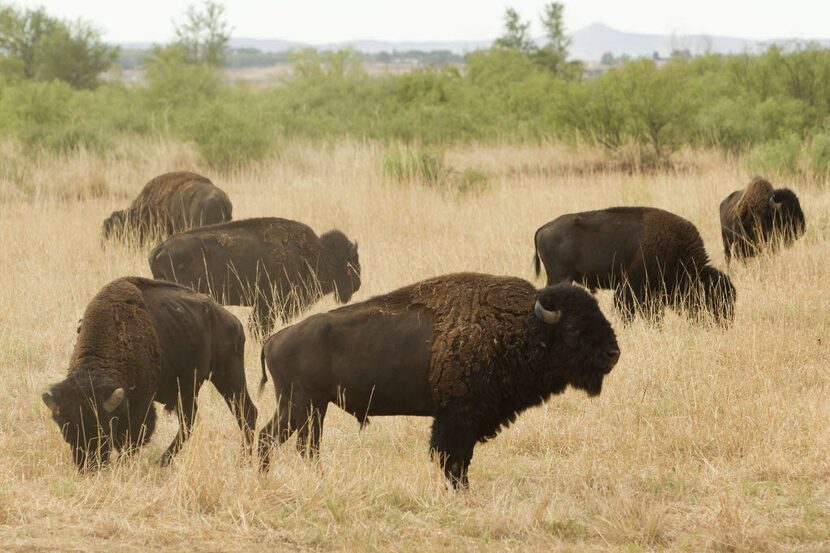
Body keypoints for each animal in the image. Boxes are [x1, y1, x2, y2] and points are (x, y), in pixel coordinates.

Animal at [41, 278, 256, 468]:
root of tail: (233, 321)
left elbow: (135, 438)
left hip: (226, 376)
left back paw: (241, 459)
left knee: (245, 413)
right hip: (192, 388)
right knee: (190, 421)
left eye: (103, 430)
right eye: (66, 432)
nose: (88, 467)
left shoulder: (142, 405)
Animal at [256, 272, 620, 488]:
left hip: (313, 407)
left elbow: (460, 458)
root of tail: (273, 340)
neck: (520, 326)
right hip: (300, 404)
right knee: (273, 439)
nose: (613, 353)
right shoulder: (457, 417)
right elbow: (451, 458)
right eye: (573, 328)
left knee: (302, 446)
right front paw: (459, 491)